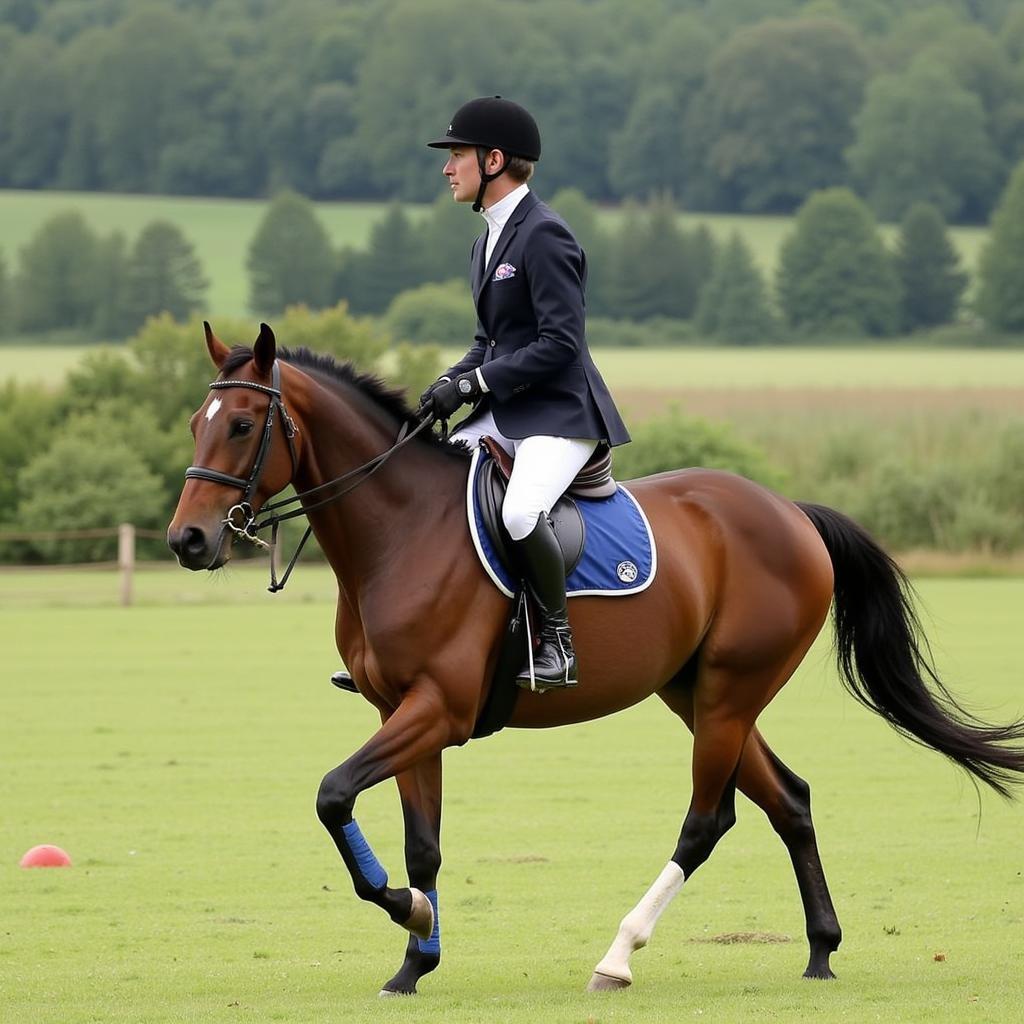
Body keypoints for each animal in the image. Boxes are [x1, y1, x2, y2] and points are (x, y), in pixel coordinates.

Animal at [167, 323, 1024, 995]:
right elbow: (422, 842)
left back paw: (619, 957)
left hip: (728, 694)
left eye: (241, 426)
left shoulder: (435, 710)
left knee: (707, 821)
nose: (188, 541)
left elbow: (333, 794)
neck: (401, 530)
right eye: (195, 424)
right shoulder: (402, 711)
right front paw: (416, 960)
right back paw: (820, 951)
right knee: (790, 799)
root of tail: (790, 512)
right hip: (698, 693)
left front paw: (406, 910)